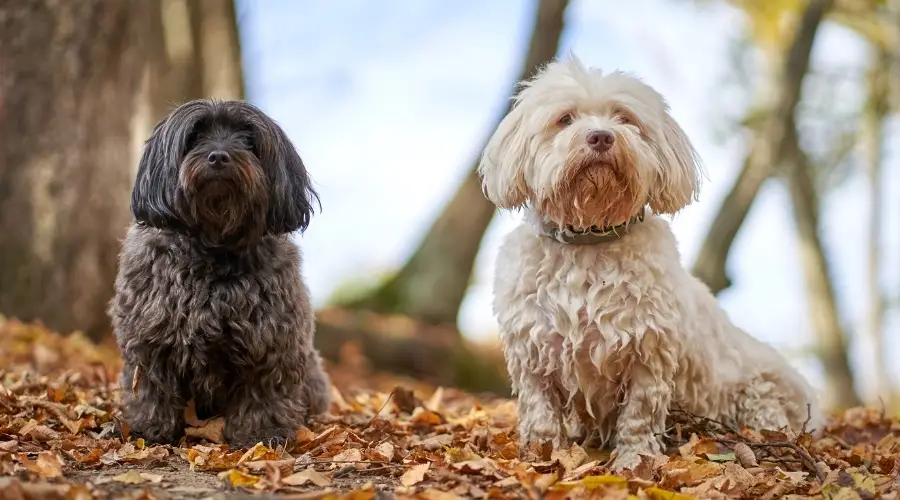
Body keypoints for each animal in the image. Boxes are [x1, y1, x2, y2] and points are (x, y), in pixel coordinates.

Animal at [110, 99, 330, 448]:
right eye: (195, 136)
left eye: (249, 140)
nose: (218, 157)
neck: (214, 246)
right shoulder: (149, 342)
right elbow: (151, 388)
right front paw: (149, 429)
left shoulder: (271, 344)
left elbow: (264, 392)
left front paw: (261, 434)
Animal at [478, 56, 824, 470]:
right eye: (565, 119)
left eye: (624, 118)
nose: (601, 137)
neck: (588, 238)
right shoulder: (532, 353)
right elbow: (541, 412)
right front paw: (542, 456)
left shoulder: (646, 349)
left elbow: (639, 413)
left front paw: (634, 461)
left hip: (759, 393)